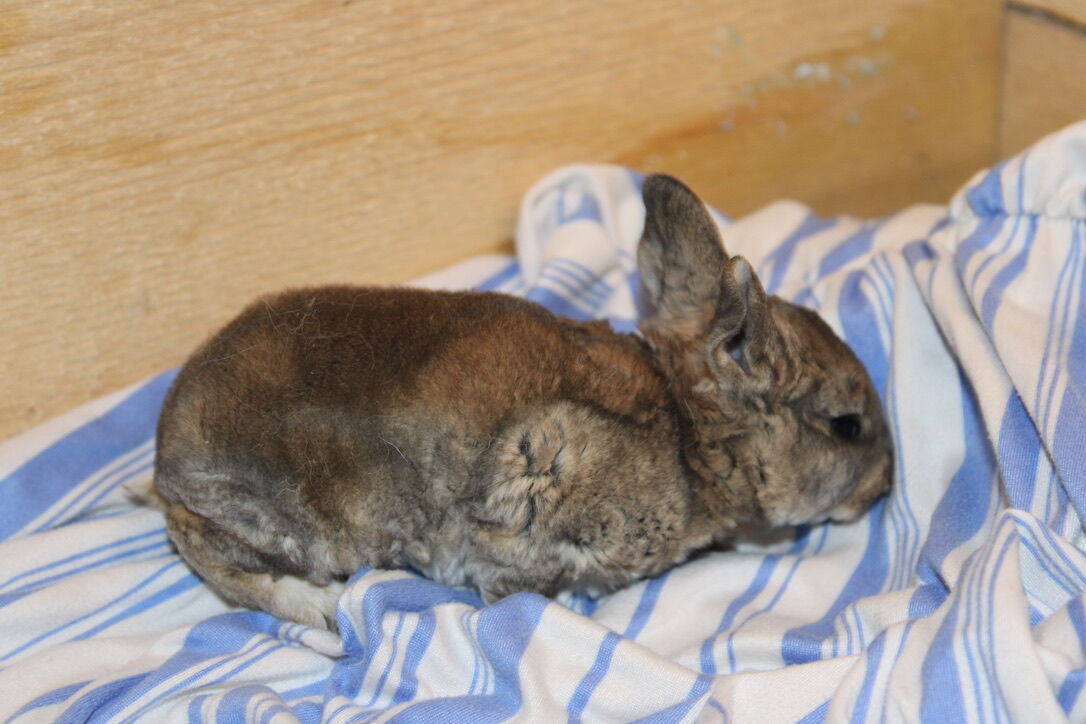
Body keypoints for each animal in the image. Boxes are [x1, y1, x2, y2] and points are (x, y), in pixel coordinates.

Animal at [150, 174, 893, 629]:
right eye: (846, 426)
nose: (883, 489)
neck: (691, 432)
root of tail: (165, 463)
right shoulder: (535, 487)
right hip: (291, 524)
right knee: (205, 551)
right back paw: (322, 608)